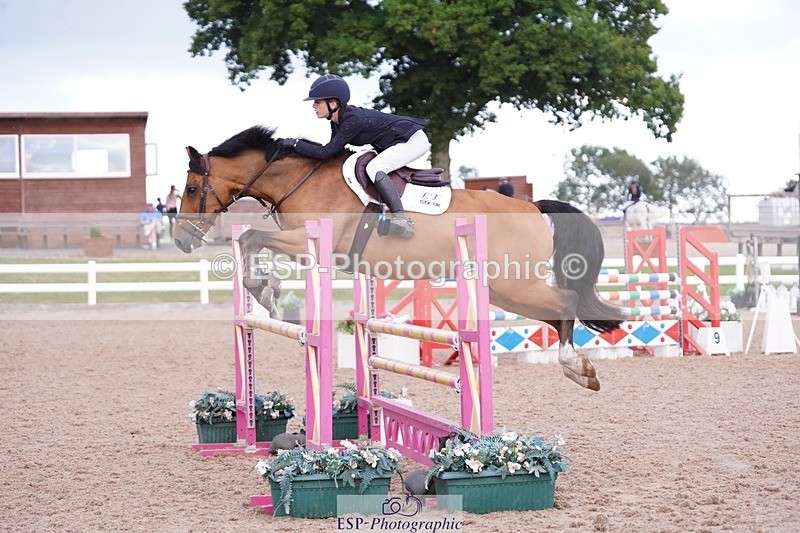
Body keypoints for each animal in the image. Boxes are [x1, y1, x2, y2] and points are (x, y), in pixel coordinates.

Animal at [174, 126, 625, 391]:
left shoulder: (308, 243)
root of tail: (532, 207)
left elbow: (252, 237)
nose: (180, 240)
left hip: (516, 282)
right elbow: (252, 242)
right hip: (504, 290)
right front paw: (266, 291)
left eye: (192, 189)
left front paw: (267, 293)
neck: (300, 179)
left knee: (566, 303)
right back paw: (580, 369)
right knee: (554, 312)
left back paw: (575, 366)